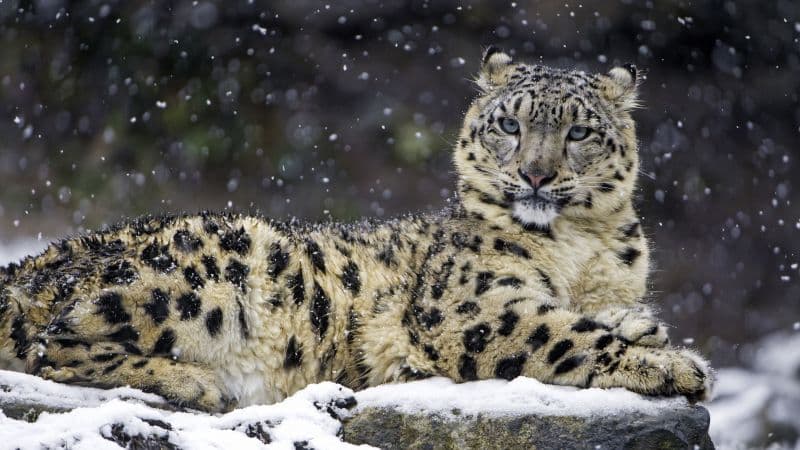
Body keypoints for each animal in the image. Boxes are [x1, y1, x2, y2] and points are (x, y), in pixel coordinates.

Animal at [0, 48, 712, 412]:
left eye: (581, 131)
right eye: (509, 124)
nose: (535, 174)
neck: (582, 250)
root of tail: (31, 263)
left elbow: (592, 316)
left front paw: (645, 326)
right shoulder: (472, 306)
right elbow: (563, 334)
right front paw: (674, 365)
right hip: (211, 270)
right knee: (52, 345)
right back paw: (193, 382)